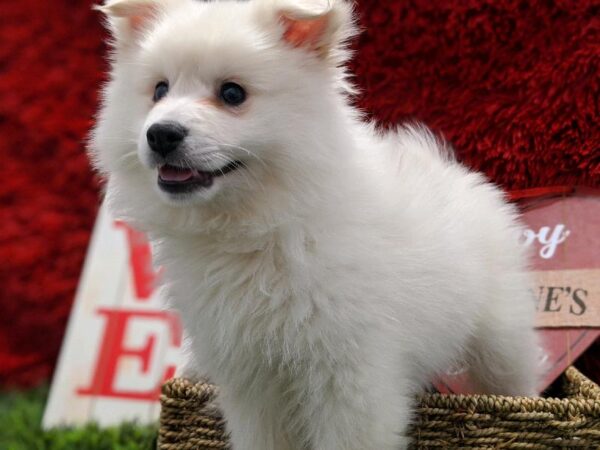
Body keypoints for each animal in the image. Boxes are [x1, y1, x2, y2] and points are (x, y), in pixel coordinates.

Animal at [91, 1, 540, 448]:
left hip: (501, 332)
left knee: (515, 374)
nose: (161, 133)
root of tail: (454, 171)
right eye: (159, 90)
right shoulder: (251, 380)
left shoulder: (351, 375)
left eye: (233, 94)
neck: (257, 225)